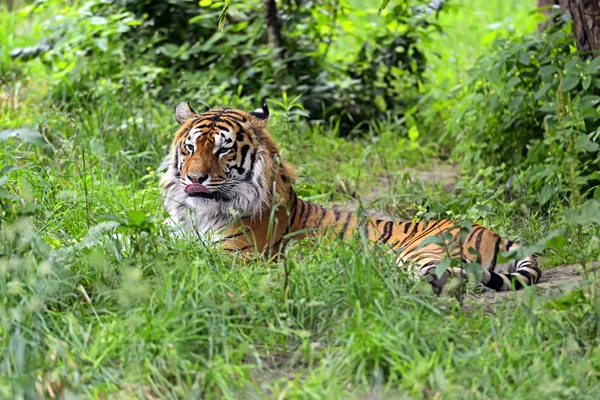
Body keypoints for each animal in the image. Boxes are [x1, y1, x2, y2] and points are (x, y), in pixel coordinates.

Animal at [161, 101, 544, 292]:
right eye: (191, 147)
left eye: (224, 149)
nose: (194, 178)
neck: (199, 215)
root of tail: (497, 234)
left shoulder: (234, 259)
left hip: (424, 252)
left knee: (446, 278)